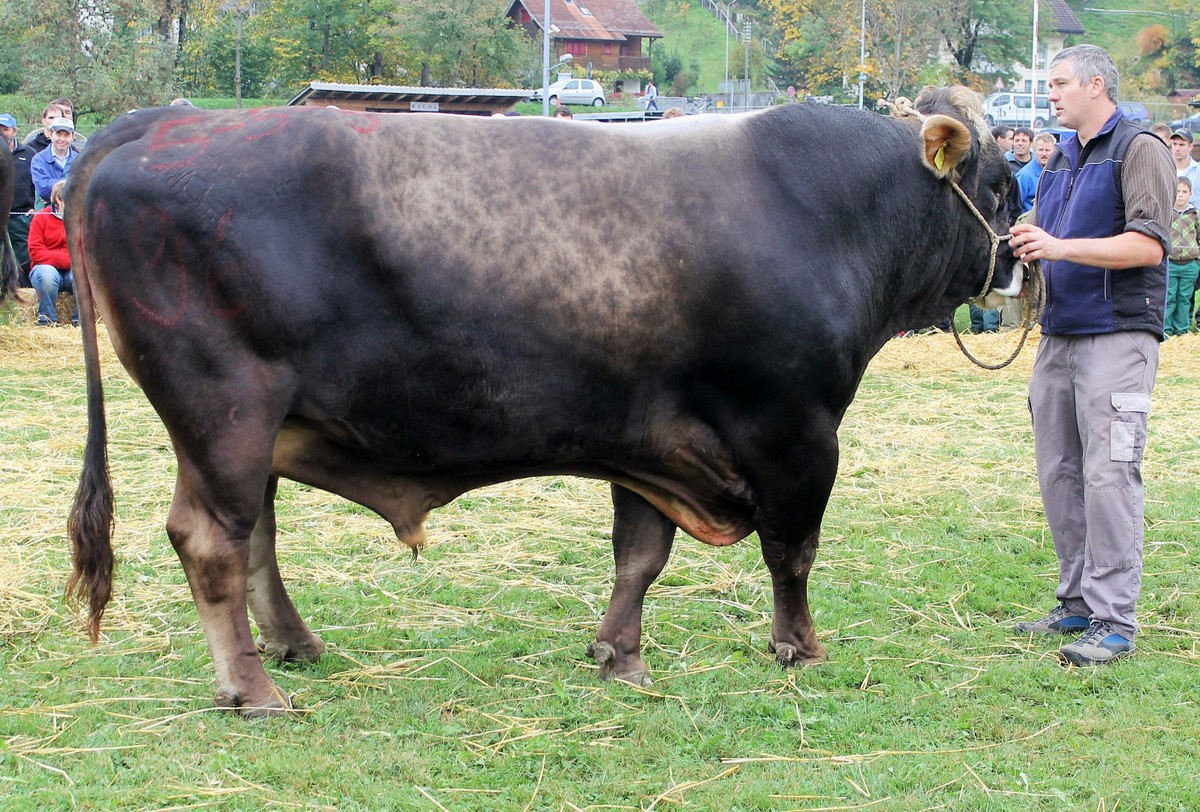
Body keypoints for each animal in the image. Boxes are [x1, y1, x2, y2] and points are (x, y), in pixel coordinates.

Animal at [66, 87, 1022, 716]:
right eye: (1001, 184)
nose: (1016, 257)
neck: (824, 213)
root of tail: (173, 119)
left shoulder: (651, 442)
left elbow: (640, 556)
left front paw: (618, 655)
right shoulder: (795, 431)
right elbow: (794, 551)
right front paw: (801, 648)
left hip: (250, 431)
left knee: (256, 536)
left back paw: (294, 647)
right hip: (224, 410)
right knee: (212, 543)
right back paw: (254, 687)